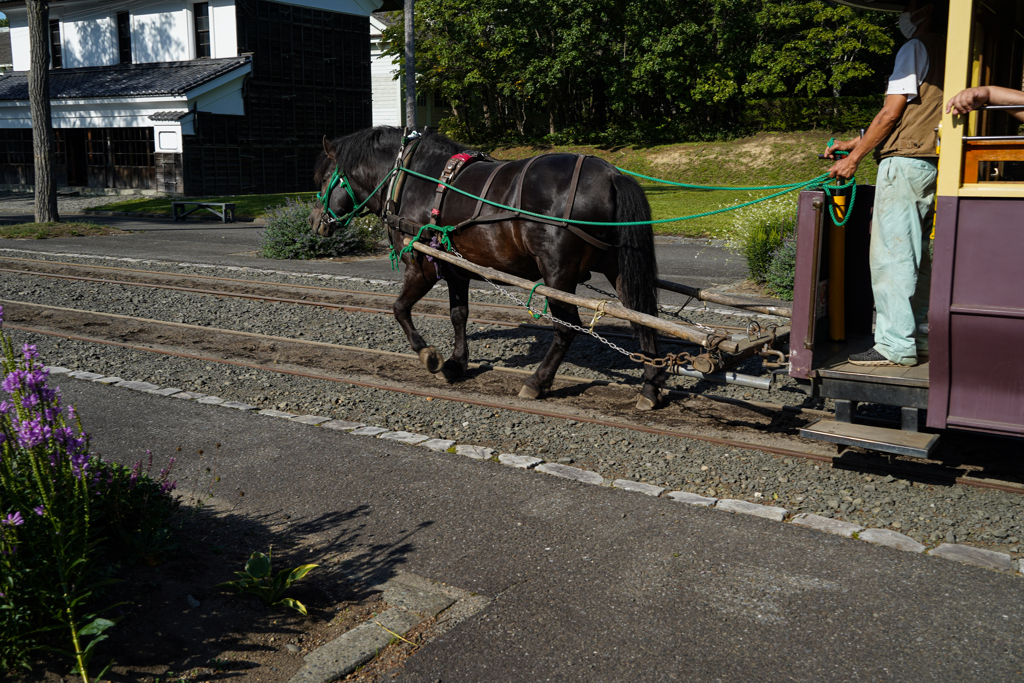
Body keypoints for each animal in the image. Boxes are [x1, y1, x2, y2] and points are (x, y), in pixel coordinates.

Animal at [311, 126, 667, 410]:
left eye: (326, 178)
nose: (315, 221)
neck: (412, 180)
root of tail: (610, 174)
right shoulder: (455, 268)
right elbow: (458, 314)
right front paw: (456, 363)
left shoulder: (421, 265)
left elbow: (399, 309)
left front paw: (430, 356)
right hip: (617, 268)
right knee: (643, 319)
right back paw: (650, 387)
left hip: (558, 275)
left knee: (567, 329)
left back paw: (537, 382)